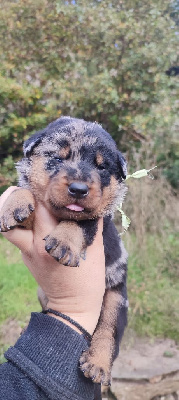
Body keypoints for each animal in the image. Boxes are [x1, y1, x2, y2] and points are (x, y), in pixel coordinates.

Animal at [0, 117, 129, 386]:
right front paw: (15, 205)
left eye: (101, 167)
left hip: (116, 298)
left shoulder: (97, 221)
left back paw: (97, 364)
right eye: (58, 158)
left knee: (107, 332)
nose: (79, 189)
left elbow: (81, 221)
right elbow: (24, 191)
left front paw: (64, 242)